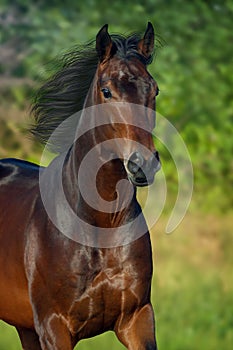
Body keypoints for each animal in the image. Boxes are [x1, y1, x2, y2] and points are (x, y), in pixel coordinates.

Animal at [0, 23, 160, 348]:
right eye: (107, 91)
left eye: (154, 90)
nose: (143, 164)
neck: (100, 226)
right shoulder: (54, 326)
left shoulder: (137, 317)